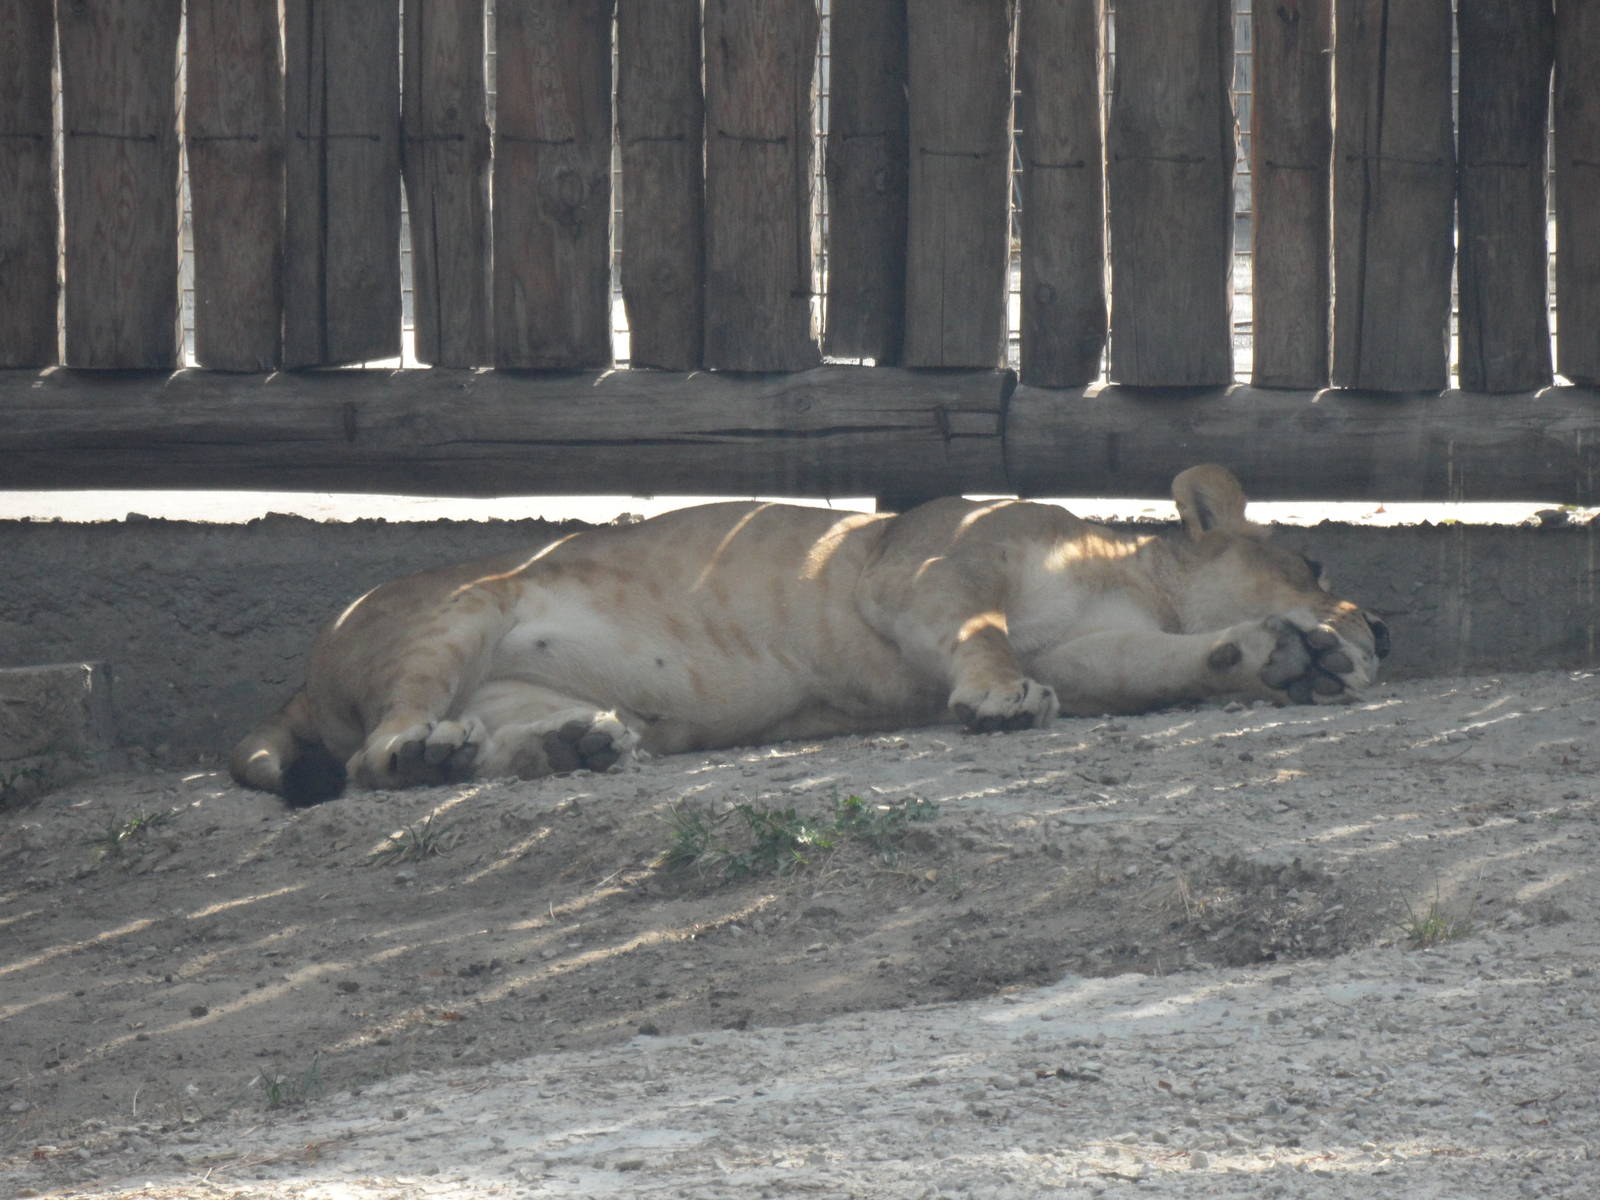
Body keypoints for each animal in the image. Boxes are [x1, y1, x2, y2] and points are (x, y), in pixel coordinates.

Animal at [230, 465, 1389, 805]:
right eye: (1319, 563)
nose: (1382, 621)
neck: (1131, 582)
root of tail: (298, 677)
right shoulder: (924, 565)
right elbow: (986, 636)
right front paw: (998, 700)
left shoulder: (1098, 654)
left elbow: (1164, 666)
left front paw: (1283, 660)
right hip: (457, 614)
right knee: (380, 751)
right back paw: (426, 752)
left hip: (522, 690)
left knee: (504, 741)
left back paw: (575, 746)